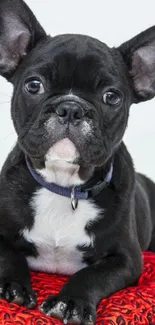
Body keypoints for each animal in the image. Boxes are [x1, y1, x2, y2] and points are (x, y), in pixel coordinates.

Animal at [0, 0, 155, 324]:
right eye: (34, 85)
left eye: (112, 97)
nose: (71, 108)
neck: (64, 185)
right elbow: (7, 253)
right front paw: (14, 285)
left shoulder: (127, 259)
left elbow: (92, 275)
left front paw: (70, 301)